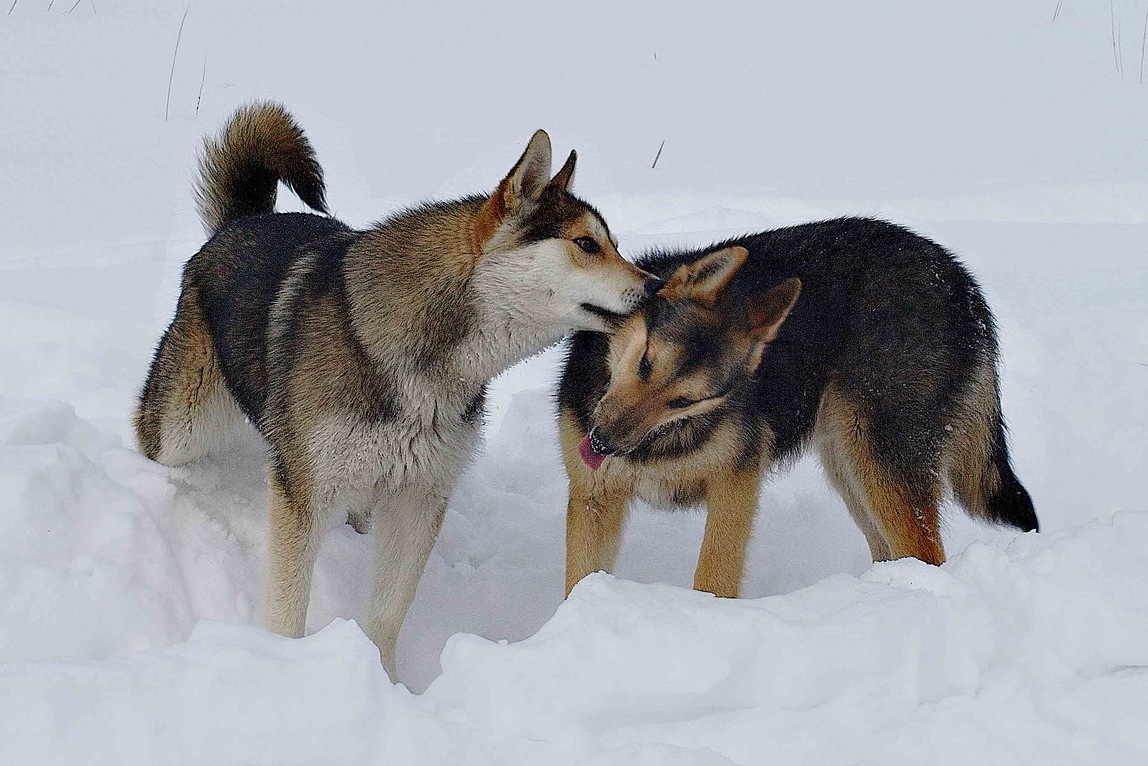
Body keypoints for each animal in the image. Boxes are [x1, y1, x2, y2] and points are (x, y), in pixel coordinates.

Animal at [135, 103, 661, 675]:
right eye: (587, 244)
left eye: (615, 245)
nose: (658, 286)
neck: (428, 359)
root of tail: (240, 222)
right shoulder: (303, 493)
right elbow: (288, 607)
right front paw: (287, 664)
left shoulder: (420, 496)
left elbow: (388, 613)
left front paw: (383, 677)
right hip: (183, 426)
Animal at [557, 217, 1042, 597]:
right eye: (644, 363)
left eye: (683, 400)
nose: (600, 444)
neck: (666, 436)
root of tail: (964, 286)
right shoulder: (594, 498)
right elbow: (580, 582)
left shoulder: (736, 484)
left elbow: (715, 575)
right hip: (850, 464)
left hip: (881, 464)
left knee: (927, 556)